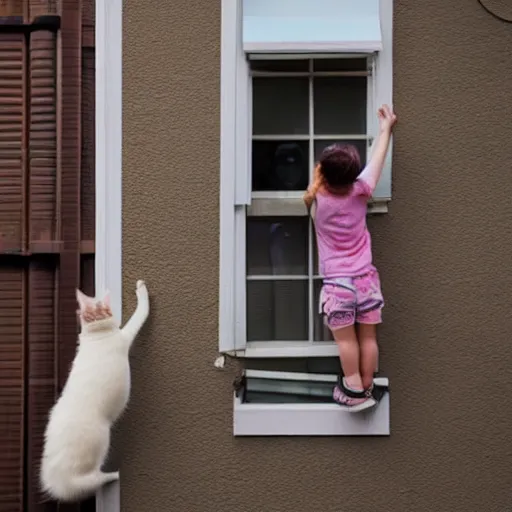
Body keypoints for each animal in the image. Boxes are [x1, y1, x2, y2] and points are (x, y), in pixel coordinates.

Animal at [40, 280, 149, 500]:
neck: (98, 334)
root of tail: (57, 482)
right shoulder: (124, 335)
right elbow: (141, 312)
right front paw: (142, 291)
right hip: (100, 439)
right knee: (89, 480)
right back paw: (113, 475)